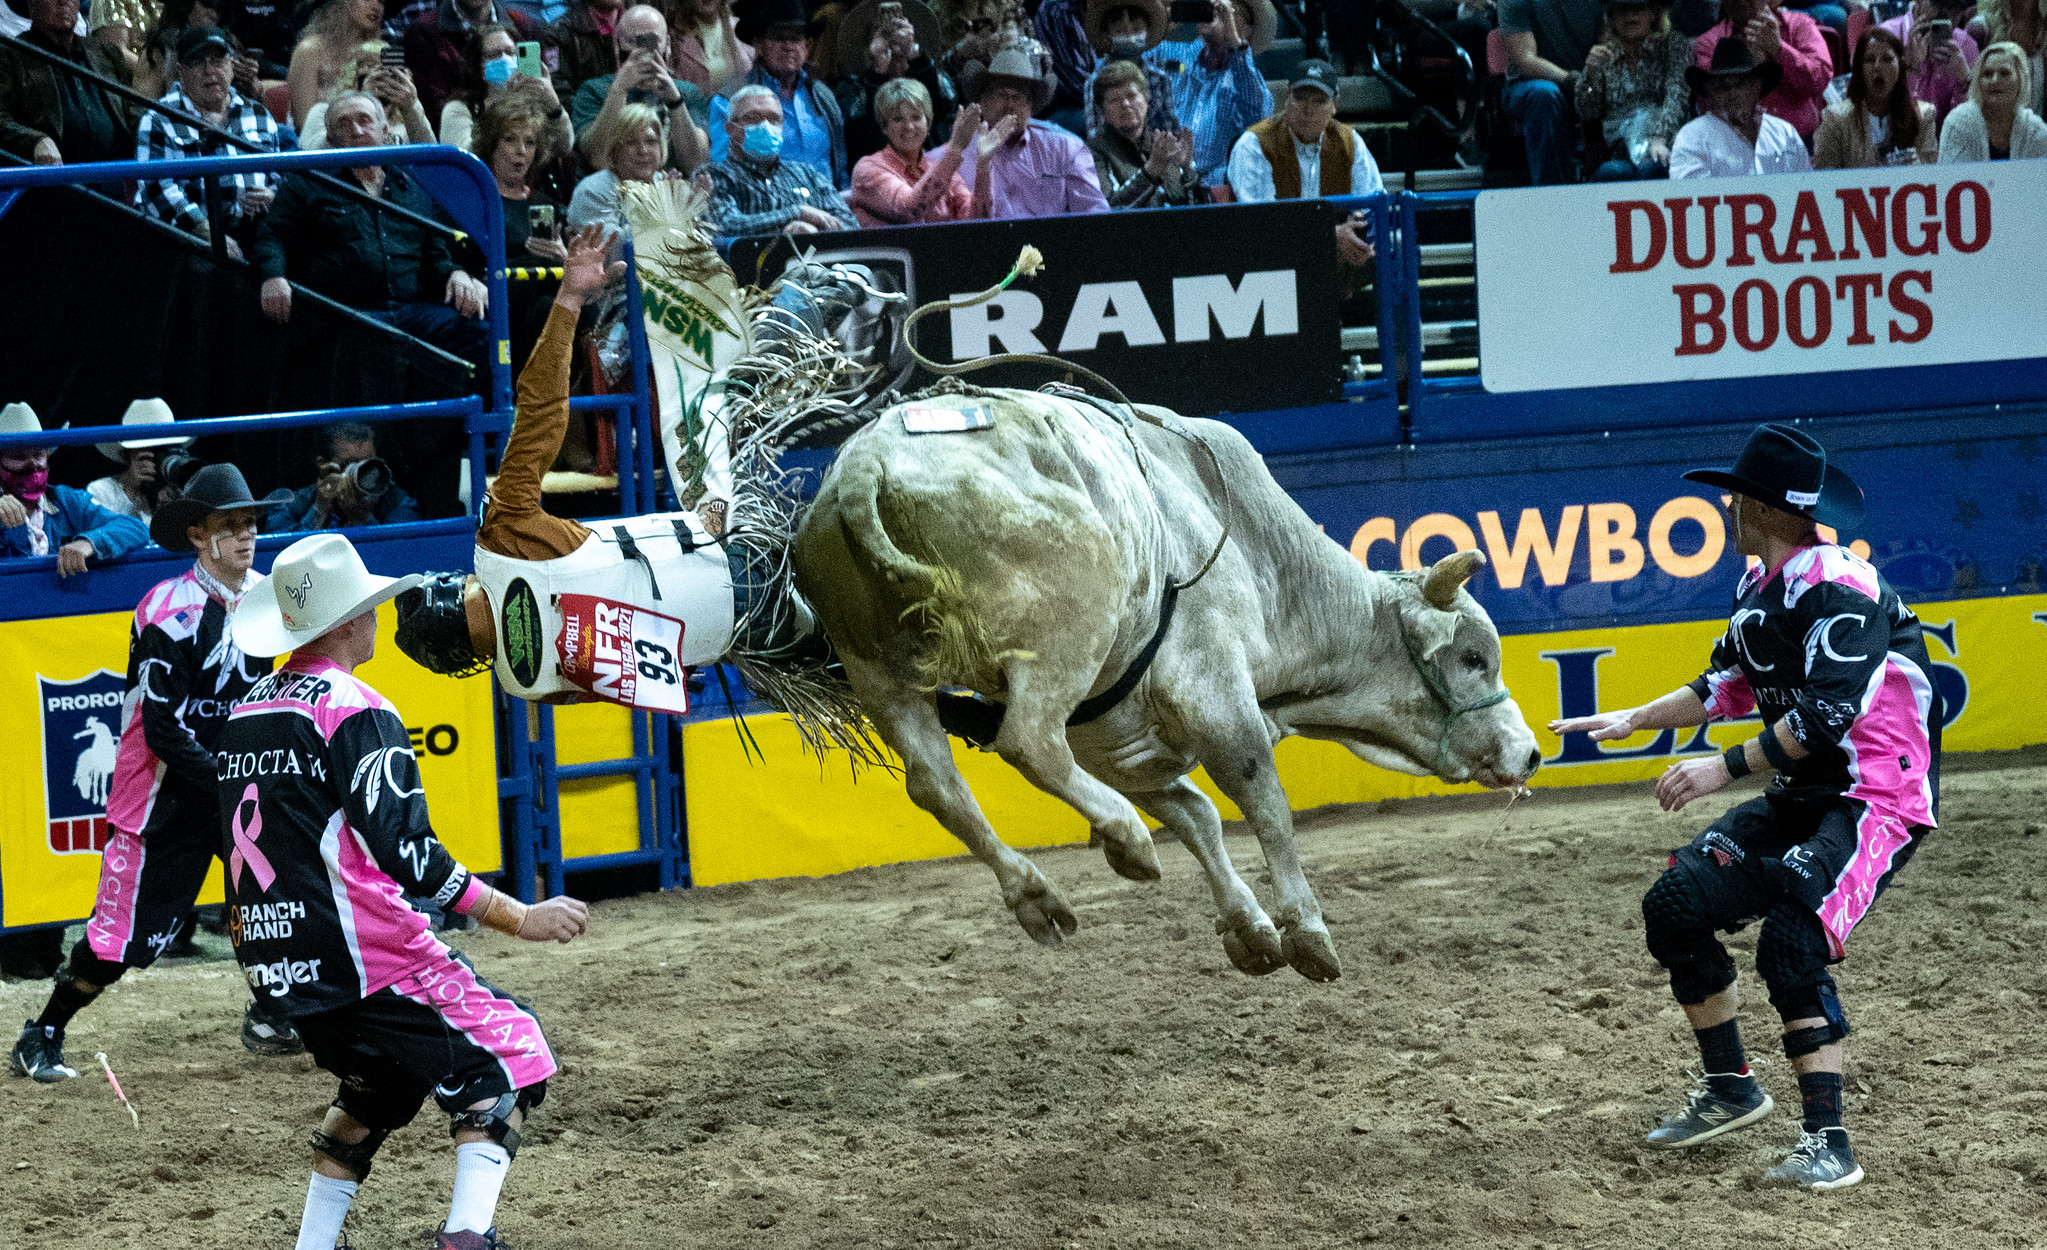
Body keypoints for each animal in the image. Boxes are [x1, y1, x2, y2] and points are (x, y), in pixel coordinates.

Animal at [790, 347, 1539, 981]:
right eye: (1473, 657)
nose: (1530, 752)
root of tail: (865, 466)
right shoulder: (1216, 692)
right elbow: (1261, 803)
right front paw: (1306, 930)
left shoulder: (1122, 743)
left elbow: (1196, 815)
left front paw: (1251, 929)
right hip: (1062, 639)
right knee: (1029, 742)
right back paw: (1122, 836)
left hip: (882, 674)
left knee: (936, 784)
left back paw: (1037, 896)